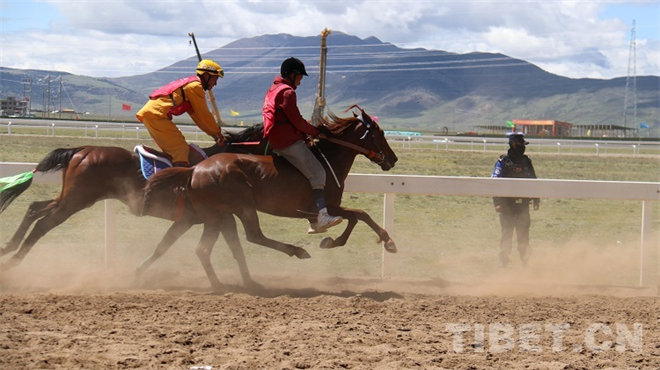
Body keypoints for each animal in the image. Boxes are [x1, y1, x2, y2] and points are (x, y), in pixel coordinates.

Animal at [0, 125, 300, 290]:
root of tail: (82, 150)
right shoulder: (216, 218)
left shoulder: (209, 219)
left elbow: (229, 249)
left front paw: (250, 282)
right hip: (76, 200)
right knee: (44, 223)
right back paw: (14, 262)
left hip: (70, 197)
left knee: (34, 208)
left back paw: (8, 248)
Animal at [141, 105, 398, 288]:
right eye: (380, 133)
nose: (393, 159)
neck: (328, 160)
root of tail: (195, 169)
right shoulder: (329, 206)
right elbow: (360, 215)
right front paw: (387, 241)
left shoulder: (330, 207)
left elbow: (357, 216)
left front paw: (332, 241)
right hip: (238, 208)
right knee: (252, 236)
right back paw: (296, 252)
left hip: (216, 215)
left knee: (203, 249)